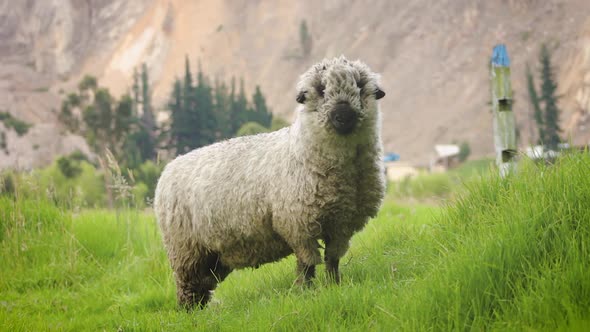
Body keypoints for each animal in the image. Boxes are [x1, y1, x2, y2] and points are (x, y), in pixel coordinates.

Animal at [155, 56, 388, 308]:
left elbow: (332, 260)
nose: (343, 116)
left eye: (360, 86)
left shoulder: (342, 224)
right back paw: (189, 311)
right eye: (321, 89)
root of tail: (169, 167)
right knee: (187, 285)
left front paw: (334, 286)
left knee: (202, 285)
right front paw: (304, 290)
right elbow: (307, 263)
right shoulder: (298, 224)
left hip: (214, 254)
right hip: (185, 249)